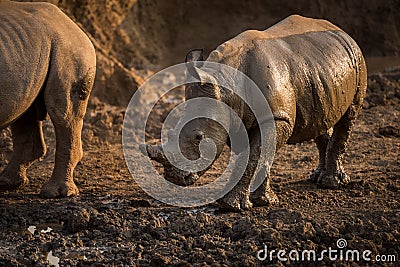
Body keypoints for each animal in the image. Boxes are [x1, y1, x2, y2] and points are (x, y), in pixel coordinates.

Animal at [0, 0, 96, 197]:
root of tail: (74, 24)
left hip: (67, 47)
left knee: (63, 113)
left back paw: (56, 193)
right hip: (27, 48)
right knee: (24, 110)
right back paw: (7, 183)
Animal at [142, 15, 368, 211]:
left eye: (198, 137)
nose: (173, 178)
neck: (226, 87)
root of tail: (340, 30)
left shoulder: (275, 117)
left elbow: (256, 154)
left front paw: (231, 206)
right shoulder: (238, 117)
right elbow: (259, 154)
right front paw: (264, 201)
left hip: (357, 59)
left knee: (348, 116)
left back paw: (331, 183)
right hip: (317, 69)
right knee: (320, 116)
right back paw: (317, 177)